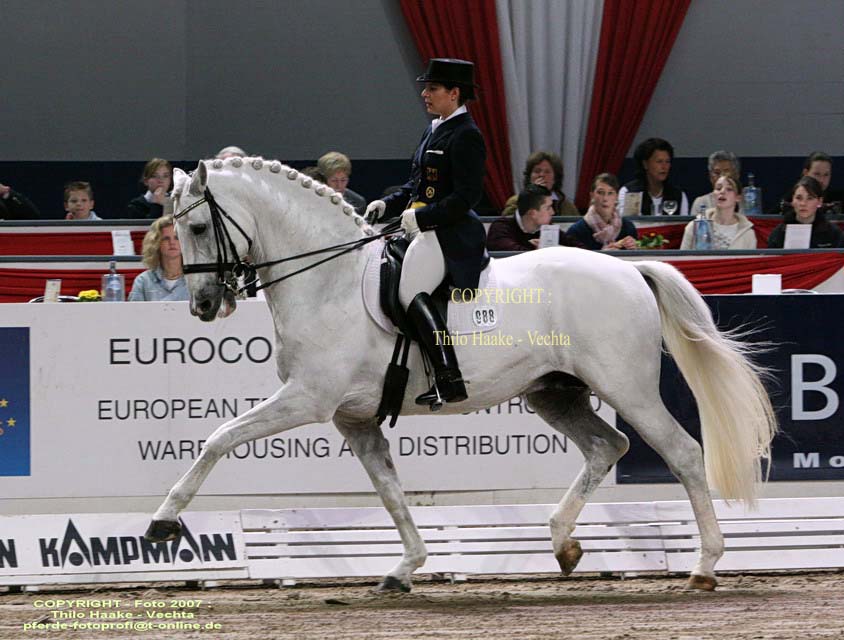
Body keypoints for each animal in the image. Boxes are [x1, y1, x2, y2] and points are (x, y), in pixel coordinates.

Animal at [147, 158, 780, 592]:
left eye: (198, 228)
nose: (203, 306)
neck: (327, 279)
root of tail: (630, 270)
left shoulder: (308, 398)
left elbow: (218, 438)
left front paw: (163, 524)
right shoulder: (354, 418)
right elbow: (390, 490)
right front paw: (405, 568)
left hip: (628, 388)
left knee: (682, 453)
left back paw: (703, 566)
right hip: (555, 393)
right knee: (608, 445)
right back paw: (563, 543)